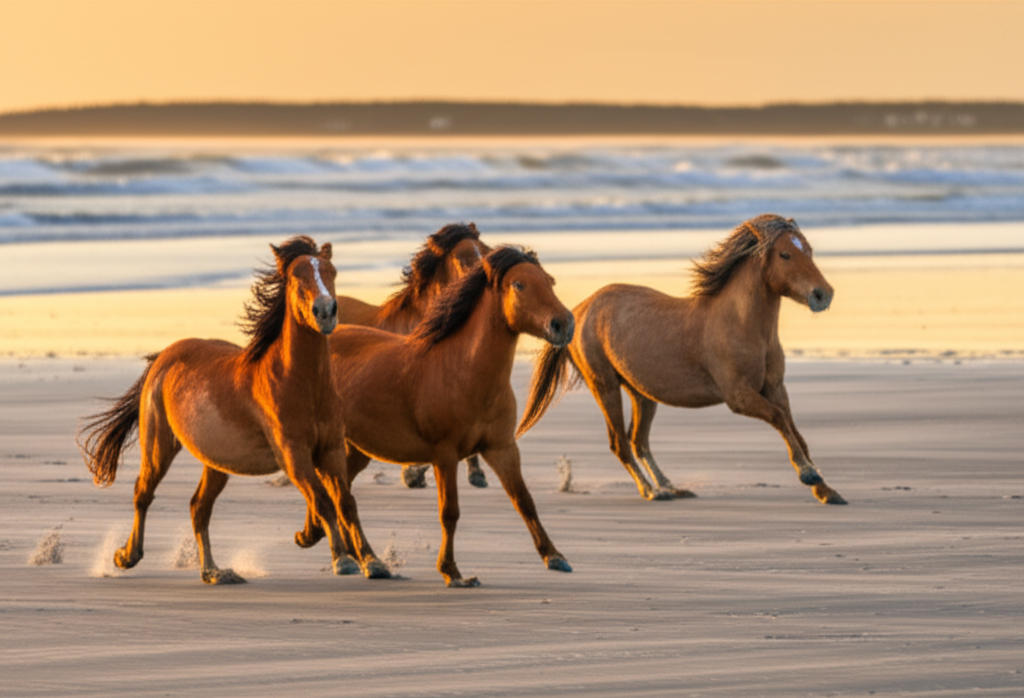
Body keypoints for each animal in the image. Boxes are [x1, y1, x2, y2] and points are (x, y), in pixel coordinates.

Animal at [77, 236, 390, 584]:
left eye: (331, 271)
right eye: (297, 277)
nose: (325, 312)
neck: (302, 384)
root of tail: (164, 357)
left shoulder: (331, 449)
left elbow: (345, 502)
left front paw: (372, 561)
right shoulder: (293, 455)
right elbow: (322, 500)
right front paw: (342, 559)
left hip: (215, 462)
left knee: (198, 507)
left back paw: (214, 572)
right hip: (159, 445)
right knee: (143, 492)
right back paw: (127, 556)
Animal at [518, 214, 846, 505]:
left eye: (809, 250)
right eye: (785, 254)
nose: (823, 294)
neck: (742, 325)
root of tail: (579, 310)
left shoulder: (775, 388)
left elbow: (794, 429)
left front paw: (826, 490)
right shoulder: (739, 396)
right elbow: (779, 419)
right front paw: (809, 475)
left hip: (641, 393)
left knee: (638, 441)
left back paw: (672, 488)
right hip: (605, 386)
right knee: (620, 444)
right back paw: (653, 492)